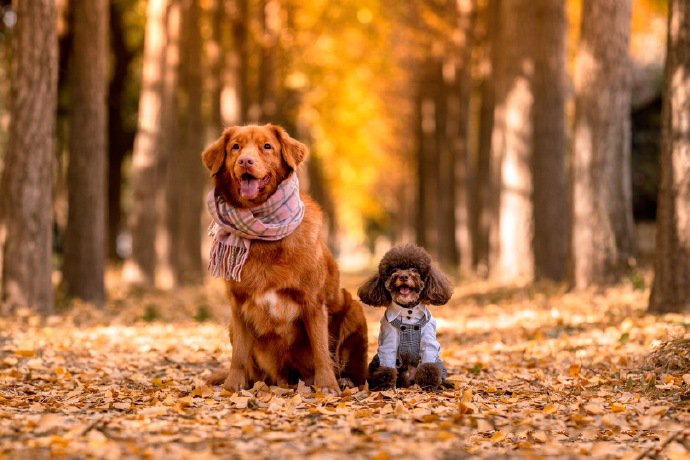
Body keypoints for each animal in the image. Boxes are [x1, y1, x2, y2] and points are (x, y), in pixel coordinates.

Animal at [202, 124, 368, 394]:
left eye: (267, 146)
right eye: (235, 147)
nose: (245, 161)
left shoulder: (312, 302)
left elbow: (321, 349)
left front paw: (327, 385)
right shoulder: (238, 305)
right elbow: (239, 354)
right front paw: (233, 385)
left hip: (354, 308)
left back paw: (344, 380)